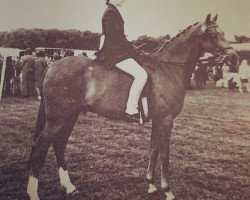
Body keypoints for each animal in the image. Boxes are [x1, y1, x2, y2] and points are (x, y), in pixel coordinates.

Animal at [26, 14, 238, 200]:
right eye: (212, 34)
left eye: (223, 32)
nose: (234, 57)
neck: (168, 69)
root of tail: (52, 65)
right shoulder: (166, 120)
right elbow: (164, 154)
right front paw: (167, 190)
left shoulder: (158, 120)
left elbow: (153, 150)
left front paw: (151, 185)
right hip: (57, 119)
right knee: (38, 148)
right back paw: (33, 193)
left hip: (70, 116)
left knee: (59, 144)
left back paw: (69, 187)